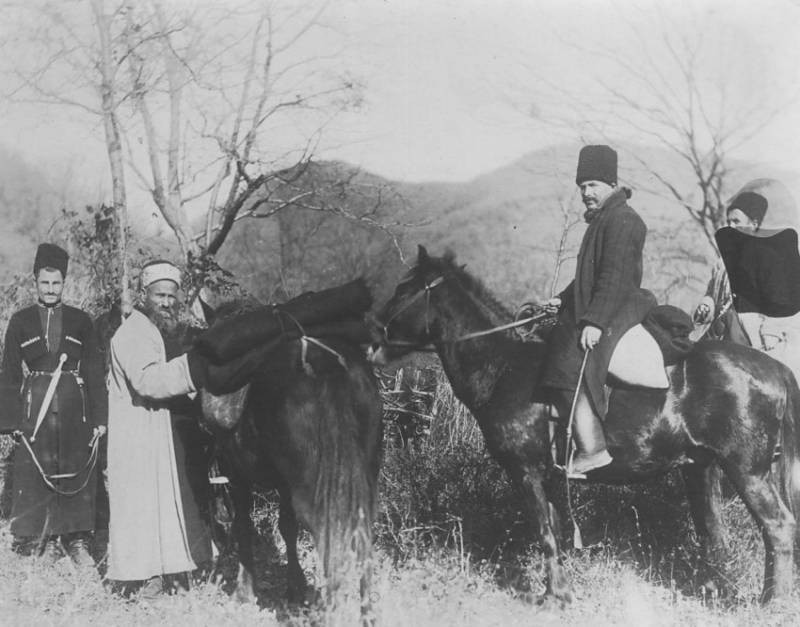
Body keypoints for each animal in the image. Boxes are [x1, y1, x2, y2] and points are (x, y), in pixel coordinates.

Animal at [197, 300, 384, 624]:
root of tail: (326, 365)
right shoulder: (284, 482)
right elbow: (287, 527)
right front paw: (296, 587)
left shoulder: (237, 472)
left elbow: (244, 525)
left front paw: (244, 591)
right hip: (362, 480)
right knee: (361, 539)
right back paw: (366, 614)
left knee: (329, 539)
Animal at [368, 248, 800, 604]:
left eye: (404, 290)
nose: (370, 341)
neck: (504, 367)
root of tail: (774, 368)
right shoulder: (547, 477)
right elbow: (555, 532)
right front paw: (560, 589)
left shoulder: (526, 472)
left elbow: (544, 533)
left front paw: (554, 596)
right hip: (701, 469)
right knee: (715, 532)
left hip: (747, 472)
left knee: (777, 527)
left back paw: (772, 602)